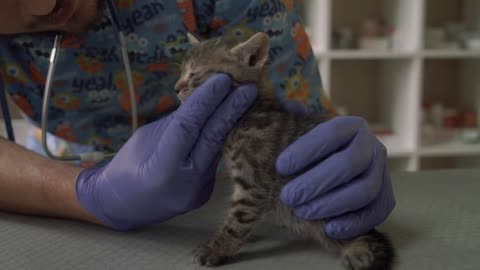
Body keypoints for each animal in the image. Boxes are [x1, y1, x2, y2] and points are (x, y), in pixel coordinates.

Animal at [174, 32, 396, 270]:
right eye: (181, 71)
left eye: (193, 74)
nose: (176, 88)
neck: (248, 113)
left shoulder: (254, 182)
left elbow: (238, 219)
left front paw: (216, 248)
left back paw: (359, 252)